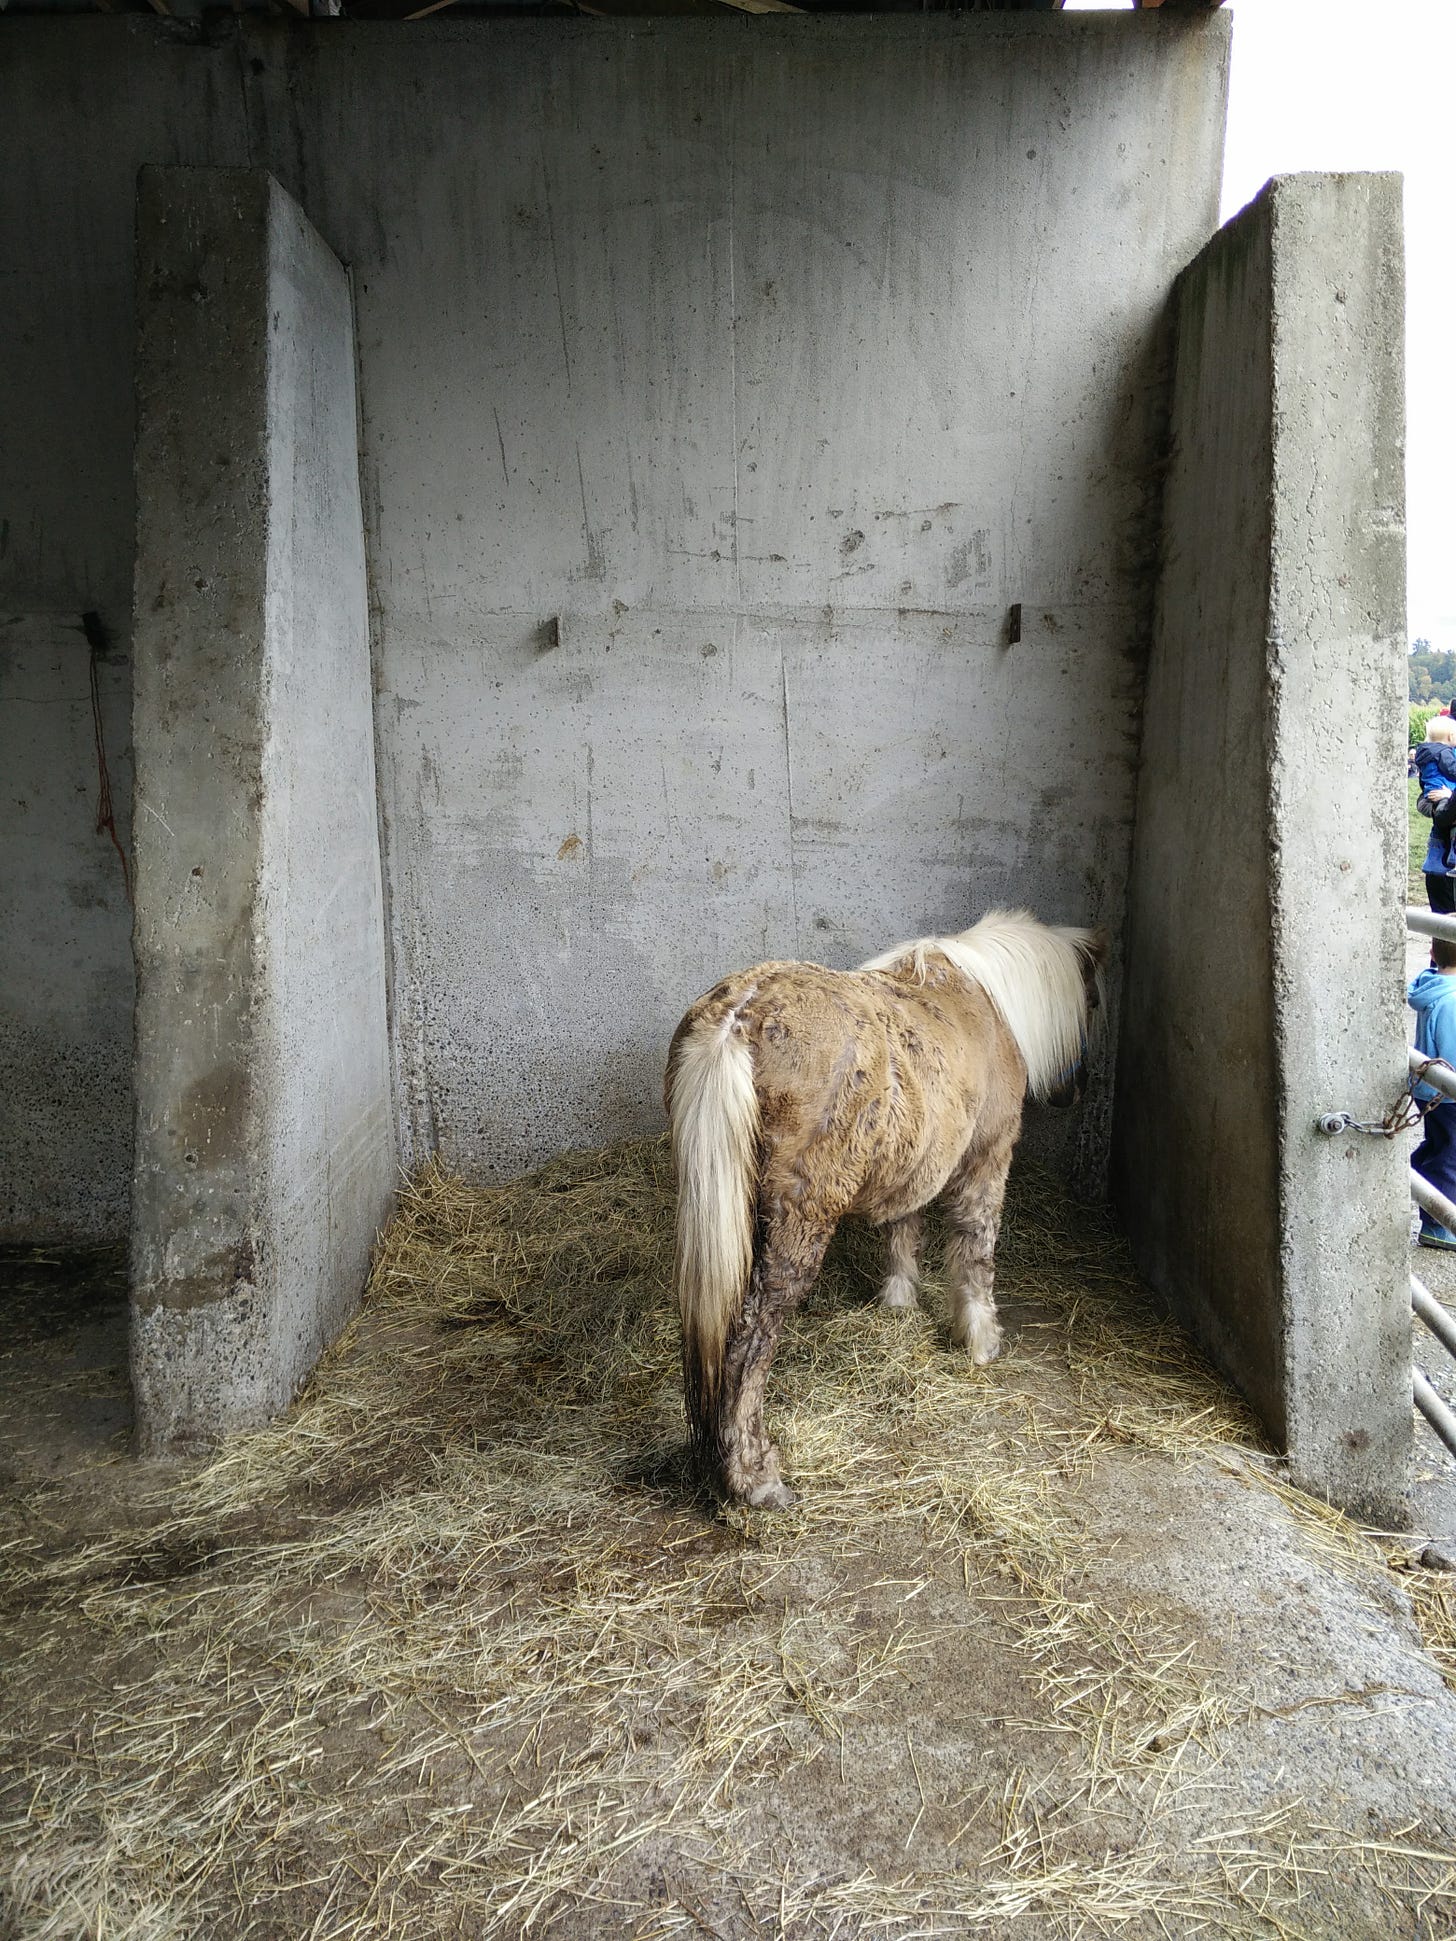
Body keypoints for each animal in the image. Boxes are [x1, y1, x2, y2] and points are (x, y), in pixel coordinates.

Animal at [671, 912, 1102, 1513]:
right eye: (1093, 1001)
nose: (1074, 1092)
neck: (989, 1002)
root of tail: (740, 1017)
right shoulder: (988, 1156)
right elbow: (976, 1244)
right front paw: (980, 1337)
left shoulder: (919, 1162)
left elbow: (904, 1229)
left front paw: (898, 1302)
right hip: (798, 1220)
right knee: (749, 1340)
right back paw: (755, 1477)